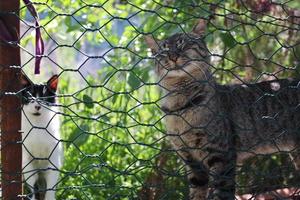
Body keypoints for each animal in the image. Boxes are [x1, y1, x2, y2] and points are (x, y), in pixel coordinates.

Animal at [145, 19, 300, 200]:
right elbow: (196, 193)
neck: (181, 108)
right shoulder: (191, 161)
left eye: (182, 44)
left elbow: (222, 192)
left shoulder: (222, 155)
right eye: (164, 50)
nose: (173, 55)